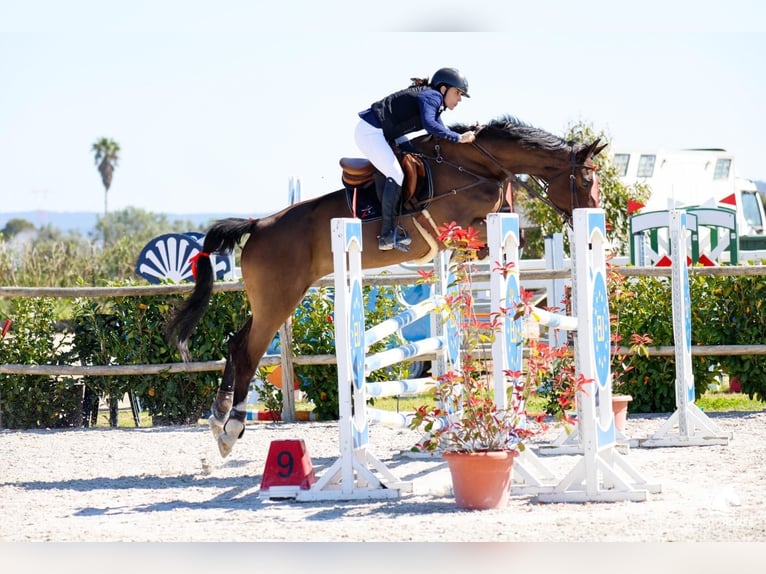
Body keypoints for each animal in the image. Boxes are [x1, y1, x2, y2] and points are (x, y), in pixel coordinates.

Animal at [166, 115, 606, 457]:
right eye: (586, 180)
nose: (592, 229)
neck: (478, 164)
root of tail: (257, 225)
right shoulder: (458, 222)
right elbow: (492, 233)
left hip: (274, 299)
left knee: (235, 343)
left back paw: (218, 417)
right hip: (279, 300)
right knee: (247, 351)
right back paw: (231, 428)